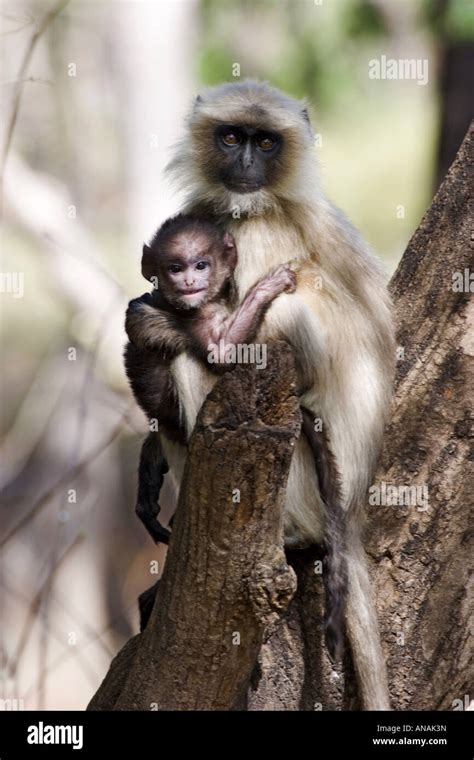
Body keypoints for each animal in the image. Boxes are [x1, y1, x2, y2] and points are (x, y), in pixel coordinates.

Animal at [162, 83, 392, 712]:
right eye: (231, 137)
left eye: (265, 142)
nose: (246, 162)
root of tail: (350, 508)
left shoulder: (258, 231)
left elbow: (231, 342)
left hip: (304, 487)